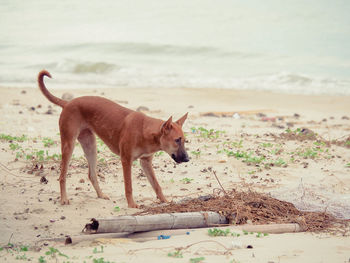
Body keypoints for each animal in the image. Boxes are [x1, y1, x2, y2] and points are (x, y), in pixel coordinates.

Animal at [38, 70, 189, 208]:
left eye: (184, 140)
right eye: (177, 140)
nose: (188, 159)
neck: (145, 130)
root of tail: (68, 103)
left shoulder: (146, 162)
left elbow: (156, 185)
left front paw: (165, 201)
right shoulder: (126, 160)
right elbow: (129, 186)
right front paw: (131, 204)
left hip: (90, 146)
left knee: (92, 175)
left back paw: (100, 194)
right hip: (69, 145)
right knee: (62, 176)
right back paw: (64, 198)